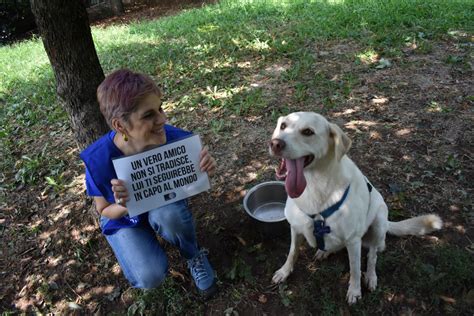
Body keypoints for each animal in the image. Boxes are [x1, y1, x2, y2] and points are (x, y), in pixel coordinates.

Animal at [270, 111, 444, 304]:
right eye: (283, 126)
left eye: (308, 132)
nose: (275, 143)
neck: (314, 186)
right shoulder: (295, 227)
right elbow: (292, 252)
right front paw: (284, 271)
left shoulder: (353, 241)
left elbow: (355, 269)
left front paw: (355, 290)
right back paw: (324, 252)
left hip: (378, 223)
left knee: (373, 255)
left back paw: (371, 276)